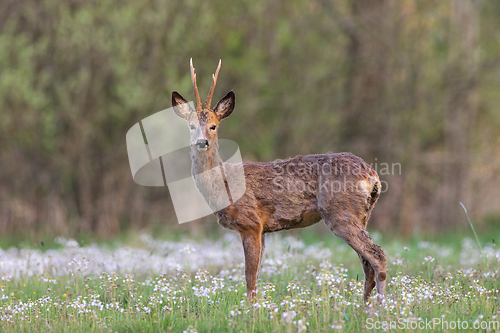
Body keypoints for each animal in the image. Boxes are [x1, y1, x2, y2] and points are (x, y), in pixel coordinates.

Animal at [172, 59, 386, 300]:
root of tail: (372, 175)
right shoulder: (262, 230)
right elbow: (255, 276)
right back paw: (364, 306)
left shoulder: (251, 223)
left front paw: (252, 310)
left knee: (377, 255)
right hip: (361, 216)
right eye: (191, 126)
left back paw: (382, 306)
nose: (202, 142)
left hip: (340, 212)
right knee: (367, 263)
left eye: (213, 126)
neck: (223, 184)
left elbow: (250, 279)